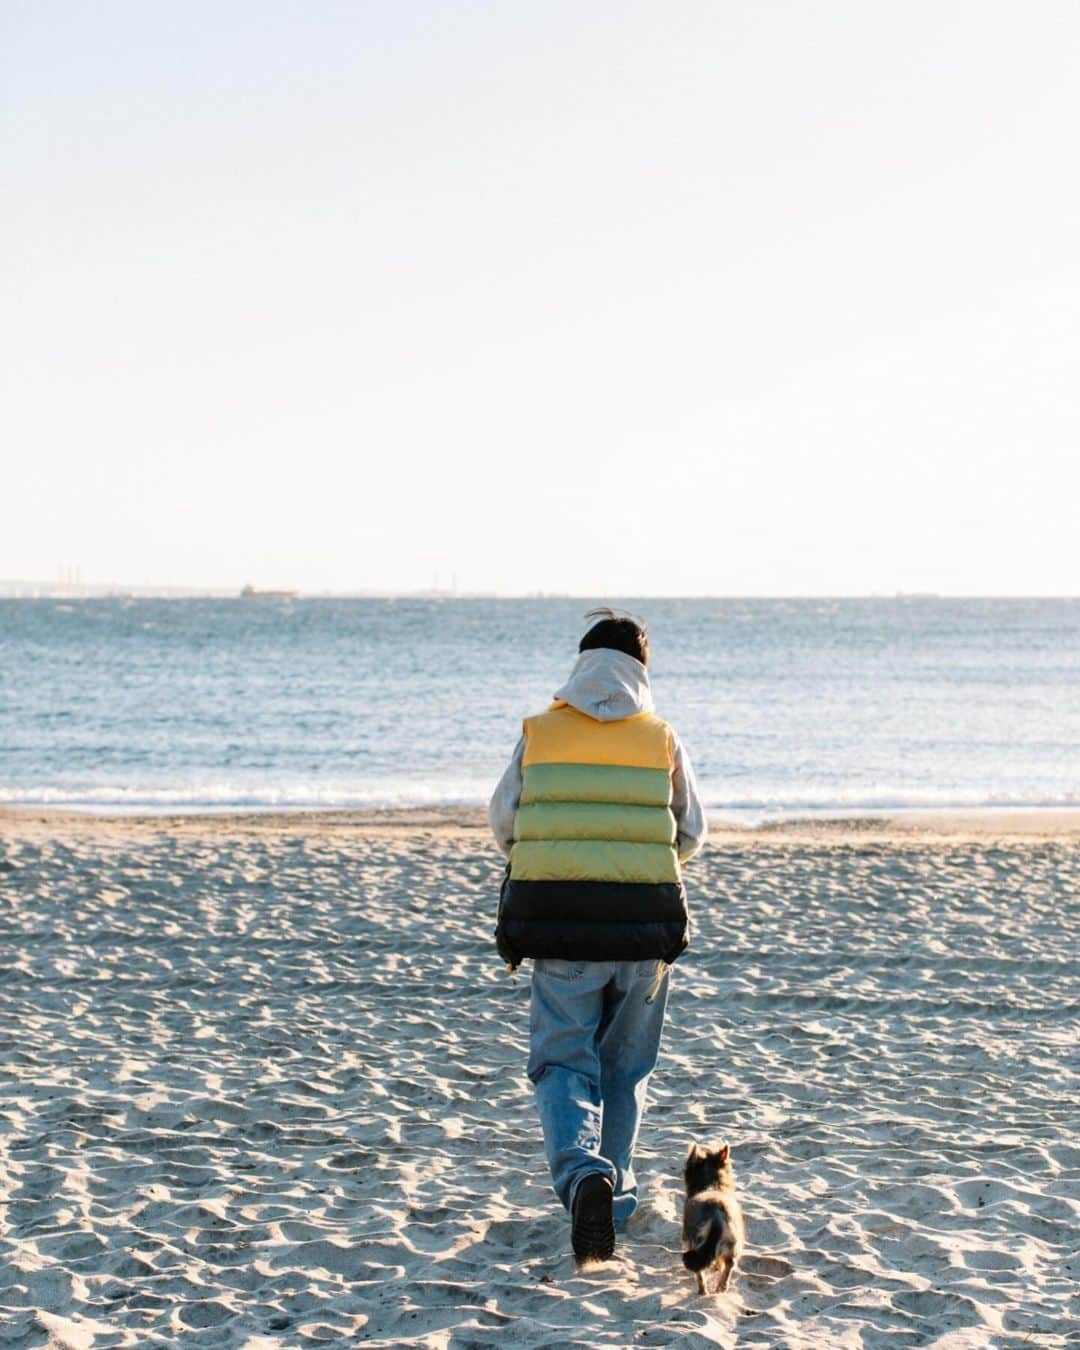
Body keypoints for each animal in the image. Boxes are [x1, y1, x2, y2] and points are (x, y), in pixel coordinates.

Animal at [683, 1144, 745, 1290]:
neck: (711, 1185)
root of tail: (716, 1212)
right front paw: (717, 1267)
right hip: (732, 1245)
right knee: (730, 1264)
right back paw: (722, 1286)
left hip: (695, 1242)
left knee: (699, 1272)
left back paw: (702, 1290)